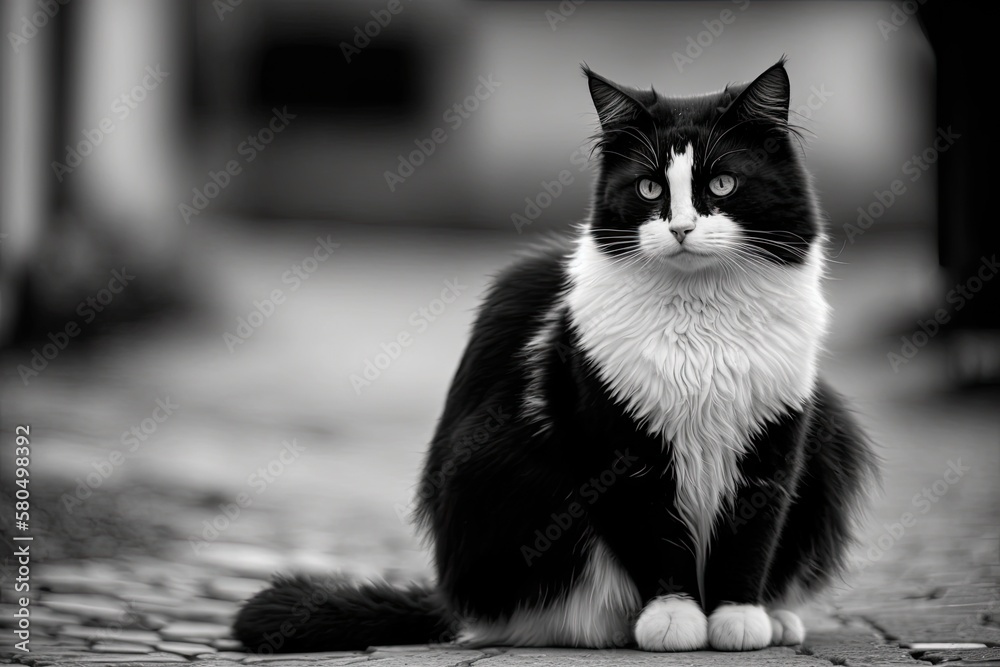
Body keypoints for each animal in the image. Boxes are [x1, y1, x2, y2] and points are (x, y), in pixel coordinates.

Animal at [232, 57, 876, 652]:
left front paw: (738, 618)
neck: (700, 317)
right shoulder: (611, 439)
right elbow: (654, 538)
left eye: (722, 185)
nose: (681, 229)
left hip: (831, 428)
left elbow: (752, 535)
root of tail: (453, 606)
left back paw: (777, 618)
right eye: (649, 188)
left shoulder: (776, 441)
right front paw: (674, 620)